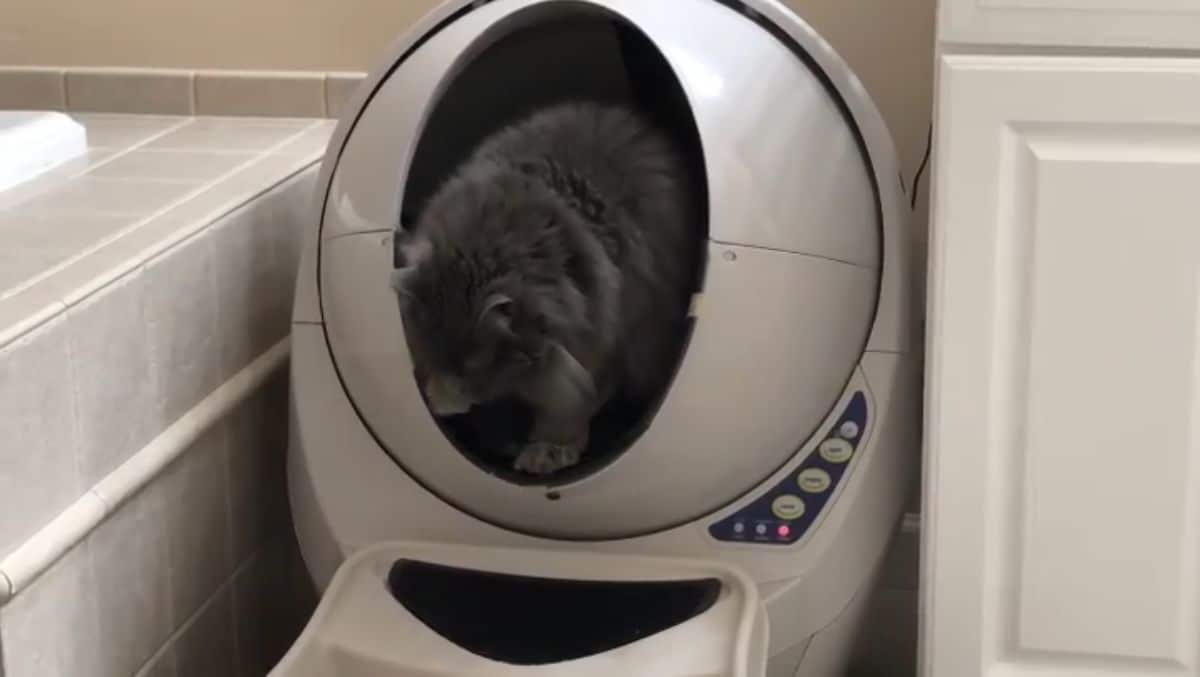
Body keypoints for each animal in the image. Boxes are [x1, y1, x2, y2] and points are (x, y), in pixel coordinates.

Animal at [388, 100, 700, 475]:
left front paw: (548, 451)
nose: (452, 405)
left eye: (474, 365)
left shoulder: (608, 333)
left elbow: (573, 400)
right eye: (431, 353)